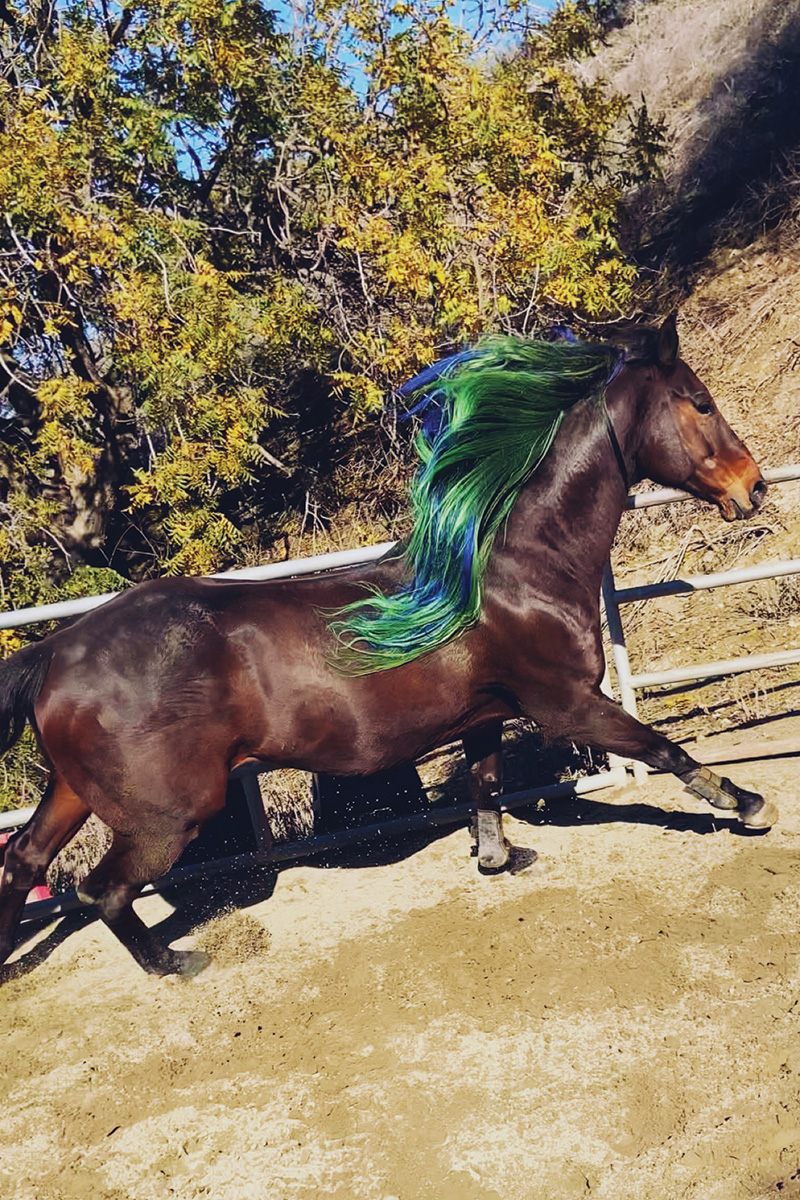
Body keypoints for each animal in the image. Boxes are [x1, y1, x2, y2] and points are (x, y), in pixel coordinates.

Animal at [0, 316, 777, 974]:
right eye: (699, 402)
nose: (756, 487)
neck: (516, 568)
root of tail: (56, 653)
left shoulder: (485, 713)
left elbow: (486, 787)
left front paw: (501, 859)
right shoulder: (566, 702)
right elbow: (663, 748)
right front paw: (745, 804)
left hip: (74, 790)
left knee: (22, 860)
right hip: (170, 814)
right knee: (101, 889)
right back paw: (176, 961)